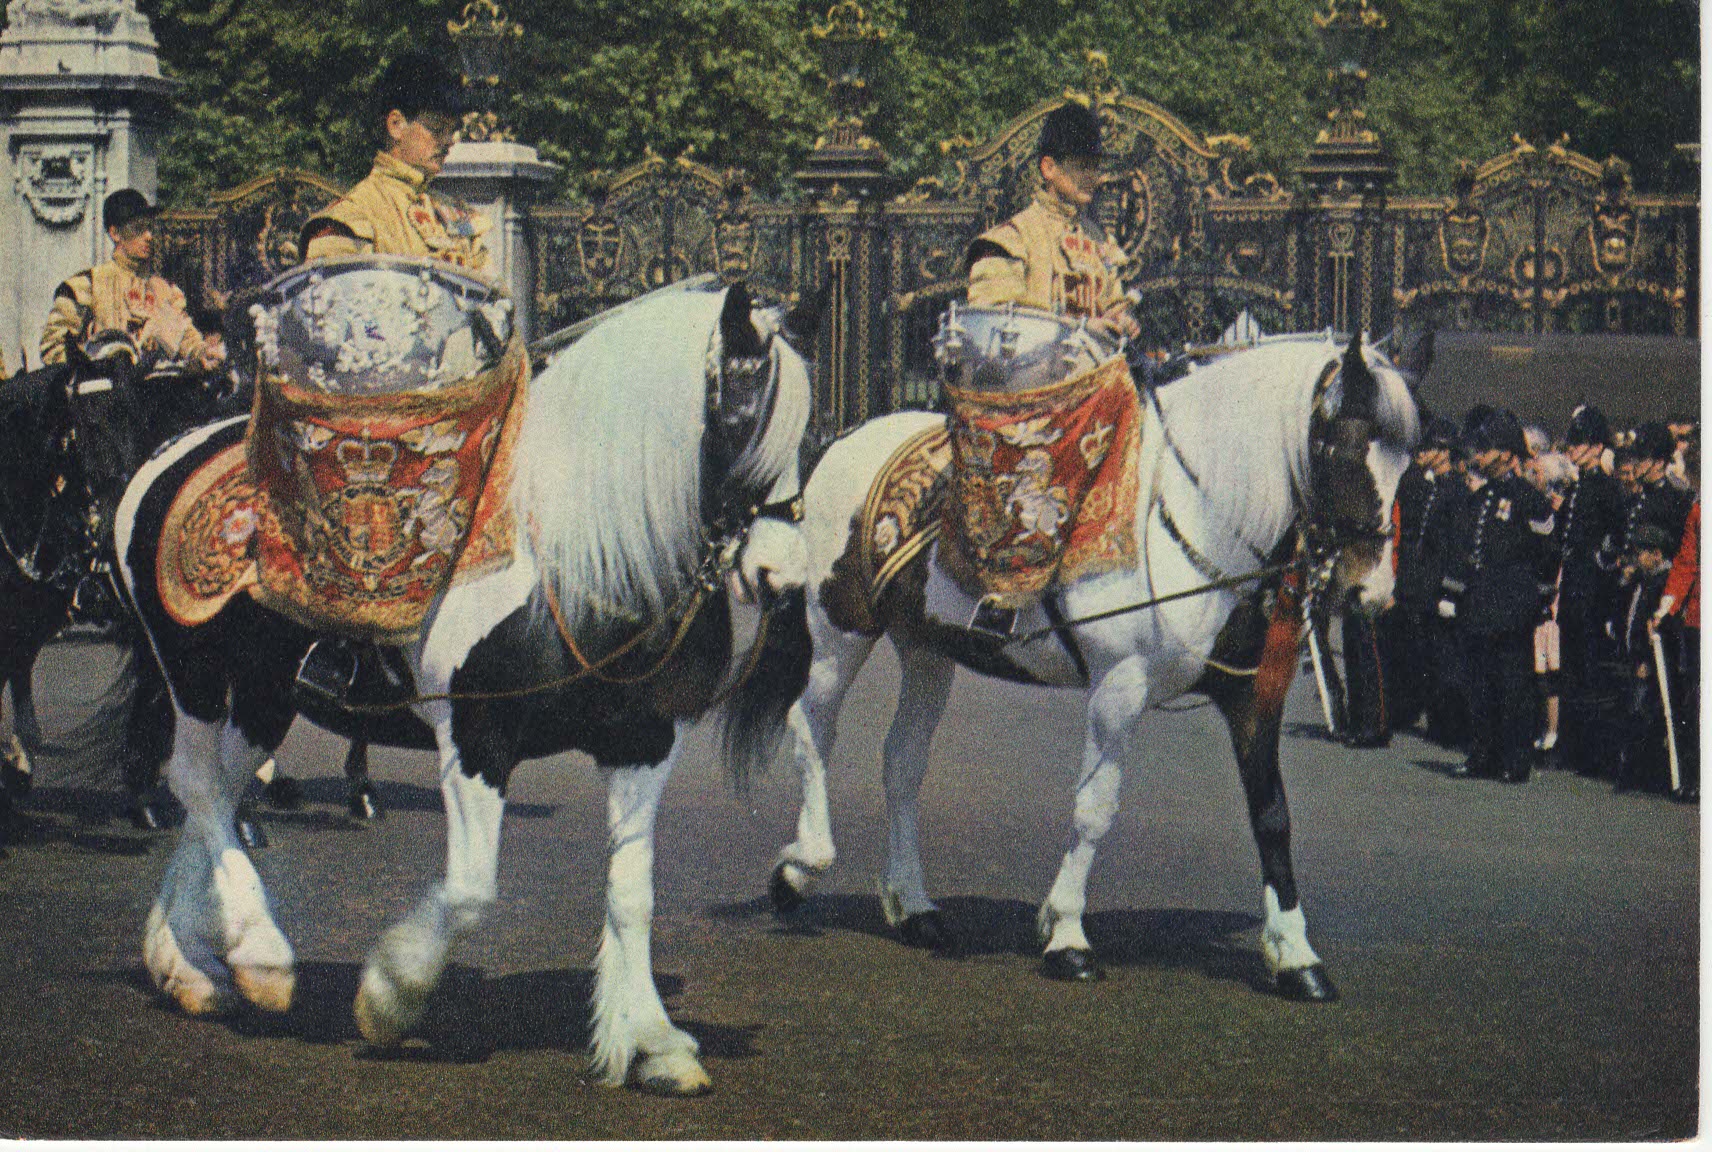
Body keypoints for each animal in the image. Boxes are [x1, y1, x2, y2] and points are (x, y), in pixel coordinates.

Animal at [113, 276, 814, 1094]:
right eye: (739, 413)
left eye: (810, 428)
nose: (782, 575)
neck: (566, 561)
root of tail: (167, 452)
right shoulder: (477, 740)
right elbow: (474, 890)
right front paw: (391, 994)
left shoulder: (641, 742)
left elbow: (632, 894)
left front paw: (651, 1041)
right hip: (191, 671)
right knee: (196, 782)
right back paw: (259, 956)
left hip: (264, 695)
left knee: (218, 792)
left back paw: (187, 964)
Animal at [747, 328, 1422, 995]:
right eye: (1343, 448)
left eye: (1407, 462)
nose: (1370, 592)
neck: (1199, 520)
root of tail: (840, 440)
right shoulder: (1118, 685)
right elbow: (1095, 809)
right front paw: (1067, 934)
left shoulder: (1252, 694)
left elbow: (1272, 815)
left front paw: (1294, 953)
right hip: (839, 632)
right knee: (813, 731)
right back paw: (800, 867)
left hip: (927, 648)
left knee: (903, 763)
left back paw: (913, 907)